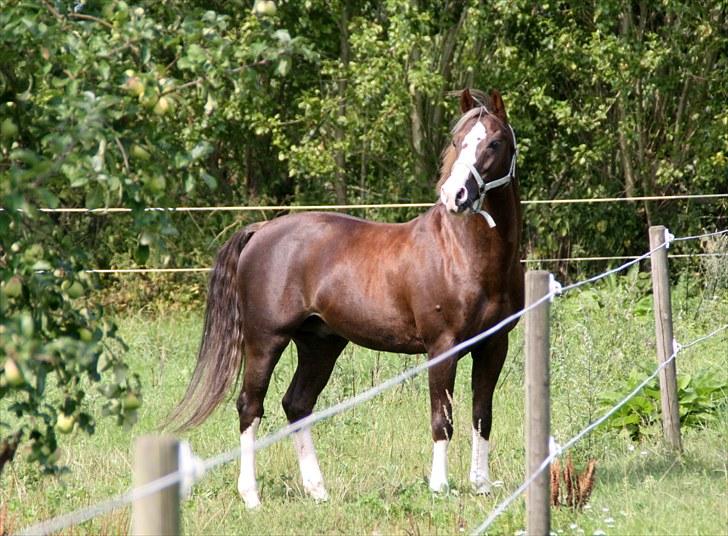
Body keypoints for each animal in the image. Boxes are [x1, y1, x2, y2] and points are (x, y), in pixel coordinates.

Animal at [169, 88, 524, 508]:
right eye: (457, 142)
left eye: (494, 143)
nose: (457, 196)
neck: (463, 254)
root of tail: (262, 229)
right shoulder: (443, 347)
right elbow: (443, 419)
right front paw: (440, 486)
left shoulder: (494, 345)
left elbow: (482, 414)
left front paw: (481, 485)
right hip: (264, 340)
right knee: (250, 406)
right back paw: (251, 496)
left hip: (320, 344)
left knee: (297, 404)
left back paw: (317, 490)